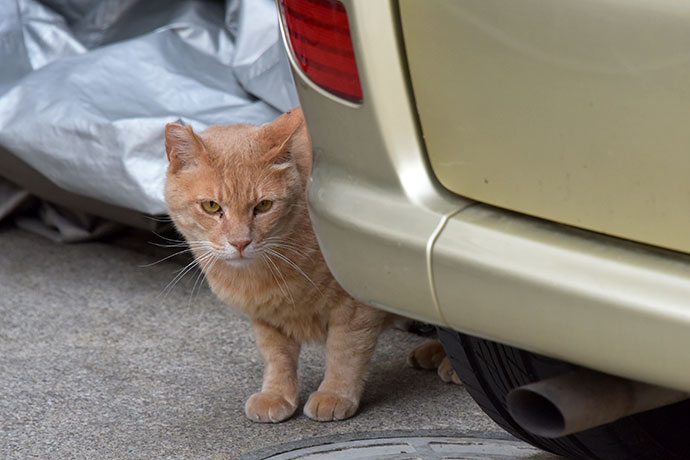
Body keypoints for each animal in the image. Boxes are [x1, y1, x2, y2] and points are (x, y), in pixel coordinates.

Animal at [161, 107, 452, 420]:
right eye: (212, 206)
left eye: (263, 206)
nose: (240, 242)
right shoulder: (267, 318)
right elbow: (277, 357)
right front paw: (276, 394)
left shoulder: (356, 309)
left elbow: (345, 351)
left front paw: (335, 394)